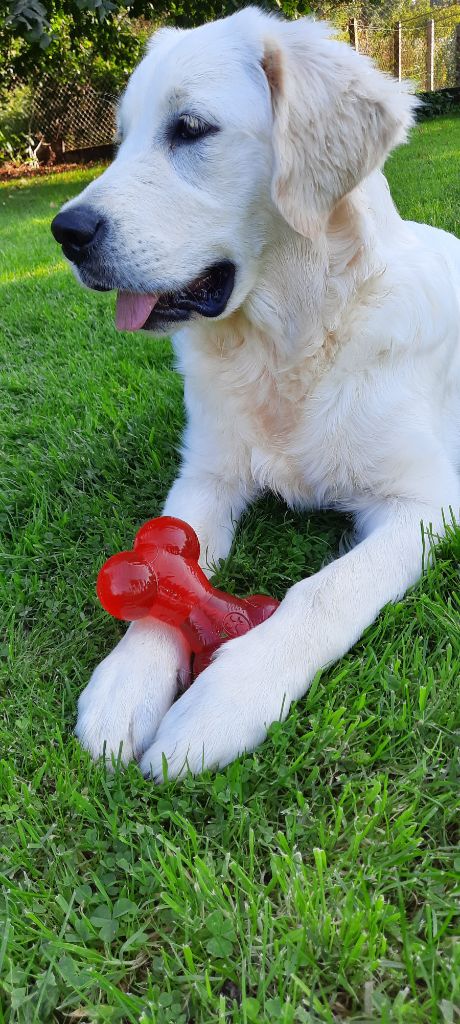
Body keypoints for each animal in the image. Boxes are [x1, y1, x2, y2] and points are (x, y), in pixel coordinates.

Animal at [51, 8, 458, 778]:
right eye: (121, 138)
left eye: (190, 128)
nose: (66, 232)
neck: (289, 344)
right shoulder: (207, 474)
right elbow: (168, 565)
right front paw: (126, 683)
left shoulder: (426, 504)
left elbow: (325, 591)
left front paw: (227, 698)